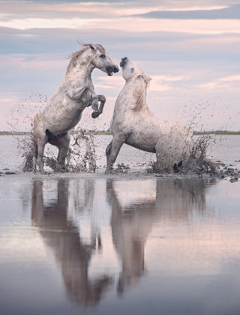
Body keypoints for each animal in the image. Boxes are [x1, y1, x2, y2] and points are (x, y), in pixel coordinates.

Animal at [32, 43, 119, 174]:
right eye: (102, 55)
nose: (116, 68)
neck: (78, 76)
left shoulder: (86, 101)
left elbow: (102, 97)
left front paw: (95, 113)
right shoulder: (75, 95)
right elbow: (90, 90)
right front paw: (95, 108)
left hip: (63, 141)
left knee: (60, 159)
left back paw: (63, 170)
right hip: (41, 139)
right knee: (39, 159)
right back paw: (43, 172)